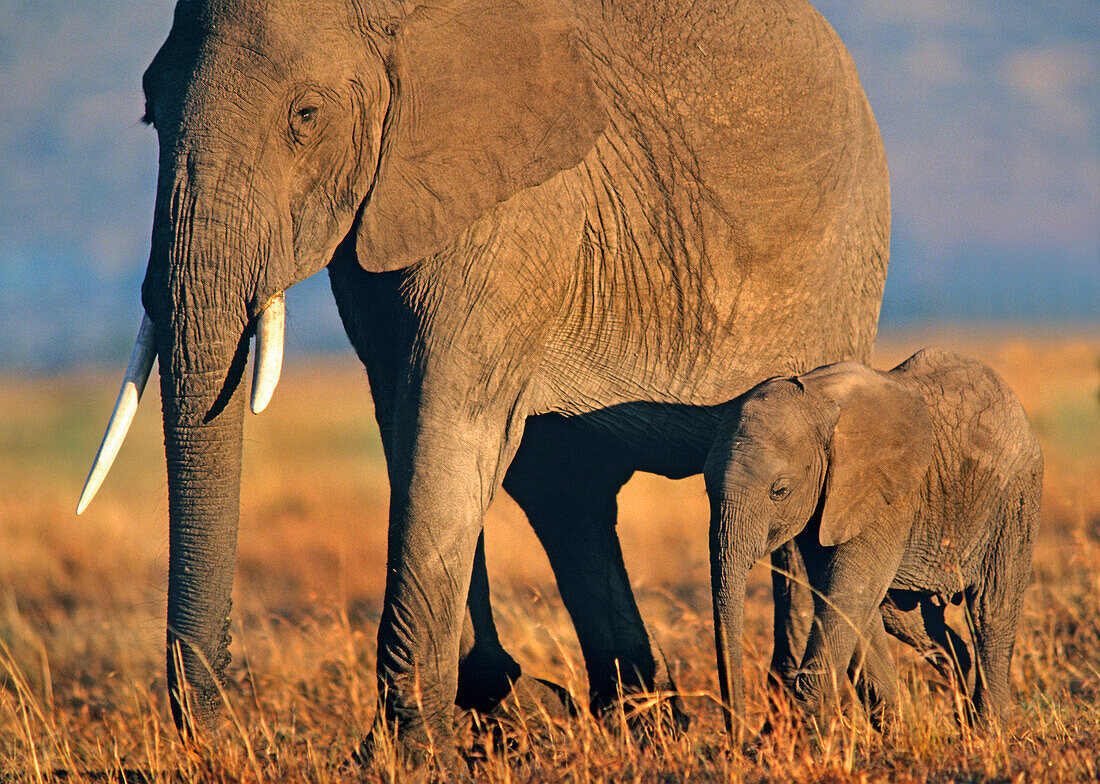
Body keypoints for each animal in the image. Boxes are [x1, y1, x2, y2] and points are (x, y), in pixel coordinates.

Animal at [77, 0, 888, 760]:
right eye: (150, 113)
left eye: (305, 116)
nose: (225, 729)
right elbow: (404, 423)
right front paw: (496, 715)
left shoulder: (521, 208)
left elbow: (446, 426)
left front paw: (405, 752)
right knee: (567, 497)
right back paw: (639, 725)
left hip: (842, 265)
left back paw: (792, 724)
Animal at [704, 347, 1038, 734]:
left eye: (780, 491)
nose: (740, 742)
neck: (818, 402)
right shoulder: (825, 506)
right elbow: (847, 600)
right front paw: (896, 734)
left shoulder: (887, 495)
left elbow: (848, 593)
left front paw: (814, 733)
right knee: (903, 616)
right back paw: (961, 707)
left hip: (1014, 499)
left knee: (992, 611)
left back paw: (987, 733)